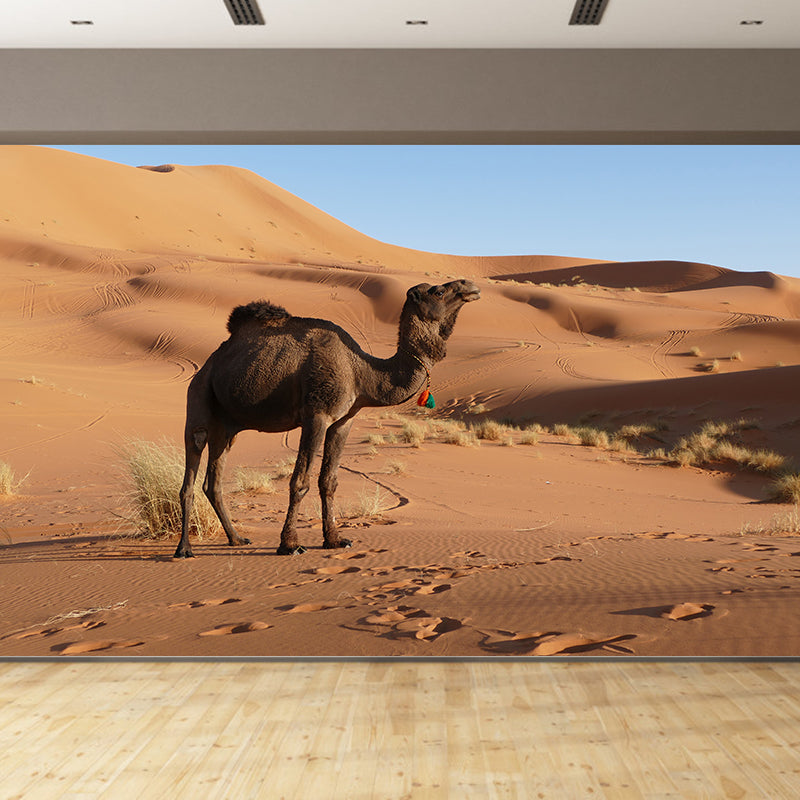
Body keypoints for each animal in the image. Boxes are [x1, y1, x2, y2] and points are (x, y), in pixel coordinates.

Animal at [175, 279, 480, 557]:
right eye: (438, 291)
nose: (470, 286)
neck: (361, 371)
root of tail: (207, 365)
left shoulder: (343, 421)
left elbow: (329, 481)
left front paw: (335, 539)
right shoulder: (317, 416)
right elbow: (300, 481)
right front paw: (290, 544)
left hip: (227, 427)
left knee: (212, 481)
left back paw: (236, 539)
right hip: (199, 399)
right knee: (191, 468)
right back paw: (184, 549)